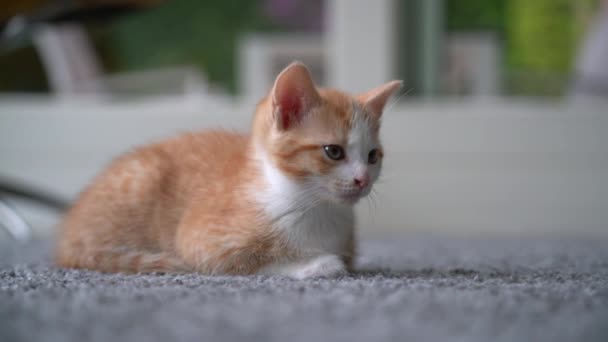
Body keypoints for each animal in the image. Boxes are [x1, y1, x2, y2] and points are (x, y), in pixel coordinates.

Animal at [55, 61, 400, 280]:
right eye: (333, 151)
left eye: (373, 156)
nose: (362, 179)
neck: (313, 207)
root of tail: (66, 237)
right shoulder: (200, 239)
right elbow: (244, 263)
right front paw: (317, 265)